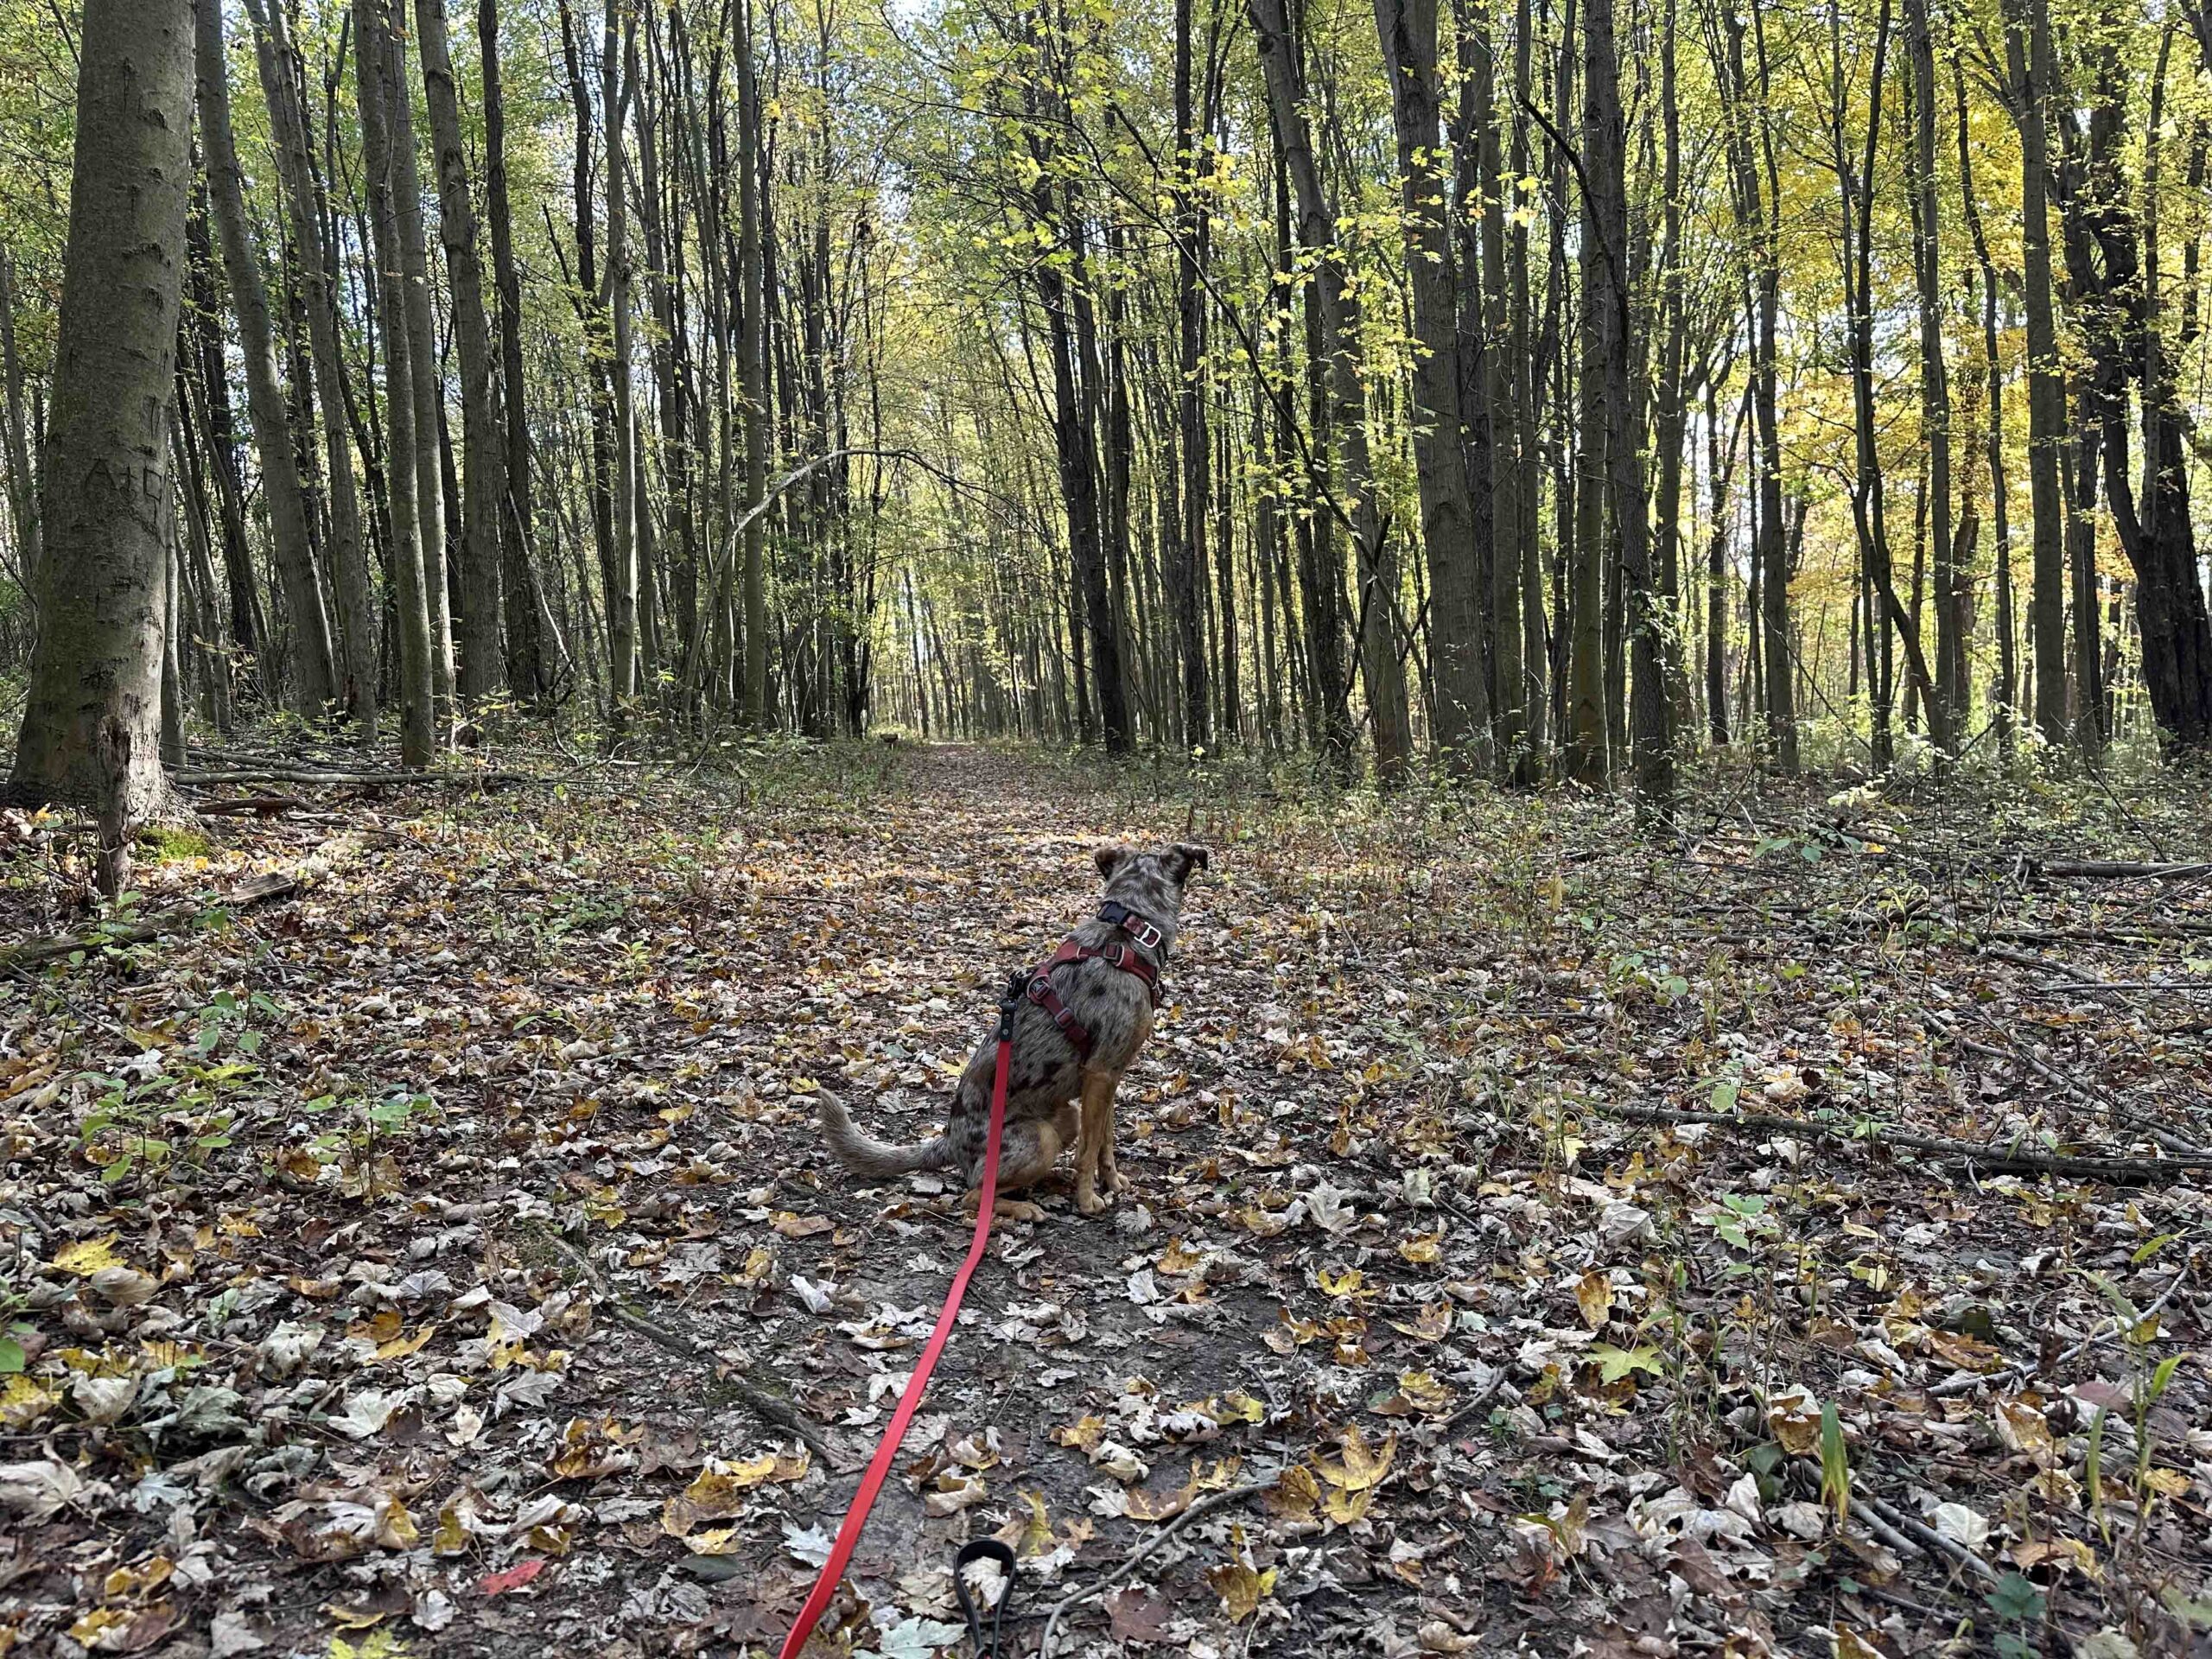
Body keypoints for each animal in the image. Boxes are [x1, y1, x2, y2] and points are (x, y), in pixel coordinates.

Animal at [818, 844, 1211, 1221]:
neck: (1127, 932)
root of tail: (949, 1142)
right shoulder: (1101, 1074)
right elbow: (1087, 1151)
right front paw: (1087, 1200)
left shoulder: (1109, 1076)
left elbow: (1105, 1141)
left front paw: (1112, 1182)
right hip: (1039, 1139)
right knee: (974, 1195)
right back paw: (1025, 1208)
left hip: (1067, 1117)